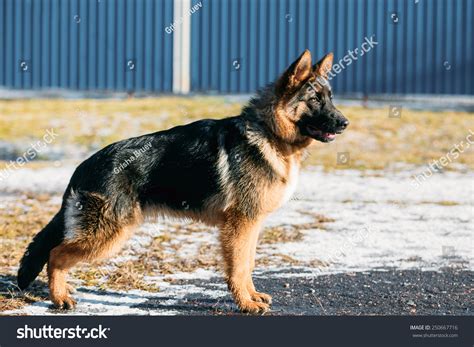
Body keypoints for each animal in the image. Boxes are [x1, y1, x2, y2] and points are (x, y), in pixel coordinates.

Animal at [17, 49, 348, 316]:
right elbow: (239, 266)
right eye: (315, 100)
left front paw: (252, 296)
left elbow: (248, 263)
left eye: (331, 98)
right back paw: (60, 299)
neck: (268, 132)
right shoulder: (241, 224)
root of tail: (84, 166)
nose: (344, 123)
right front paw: (245, 304)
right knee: (55, 255)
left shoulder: (250, 225)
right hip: (108, 235)